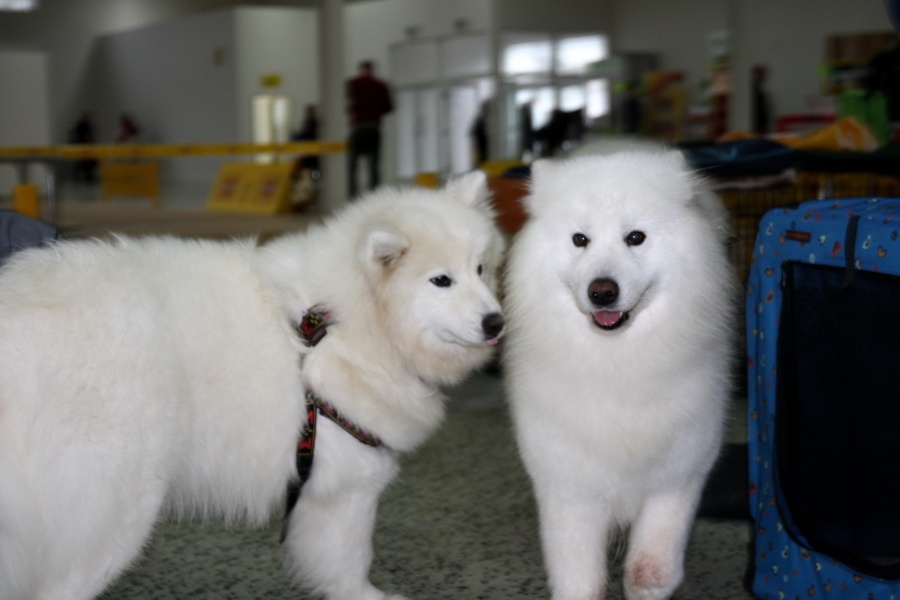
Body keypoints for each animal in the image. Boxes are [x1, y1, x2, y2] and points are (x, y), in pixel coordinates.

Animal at [0, 171, 506, 596]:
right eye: (440, 280)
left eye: (480, 269)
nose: (496, 322)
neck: (344, 324)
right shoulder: (347, 488)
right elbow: (350, 561)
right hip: (113, 510)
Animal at [502, 146, 736, 600]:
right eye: (580, 240)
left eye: (635, 237)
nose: (602, 292)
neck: (618, 364)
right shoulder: (570, 487)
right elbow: (579, 575)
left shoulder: (678, 477)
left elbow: (653, 567)